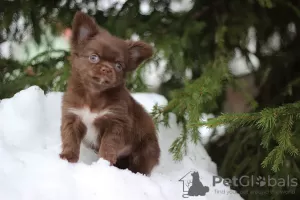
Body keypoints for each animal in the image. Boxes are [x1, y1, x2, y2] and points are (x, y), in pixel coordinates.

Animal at [59, 11, 162, 175]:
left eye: (119, 66)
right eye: (93, 57)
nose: (107, 69)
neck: (93, 95)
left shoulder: (116, 122)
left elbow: (109, 144)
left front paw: (104, 163)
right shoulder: (72, 116)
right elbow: (70, 138)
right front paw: (68, 157)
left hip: (146, 150)